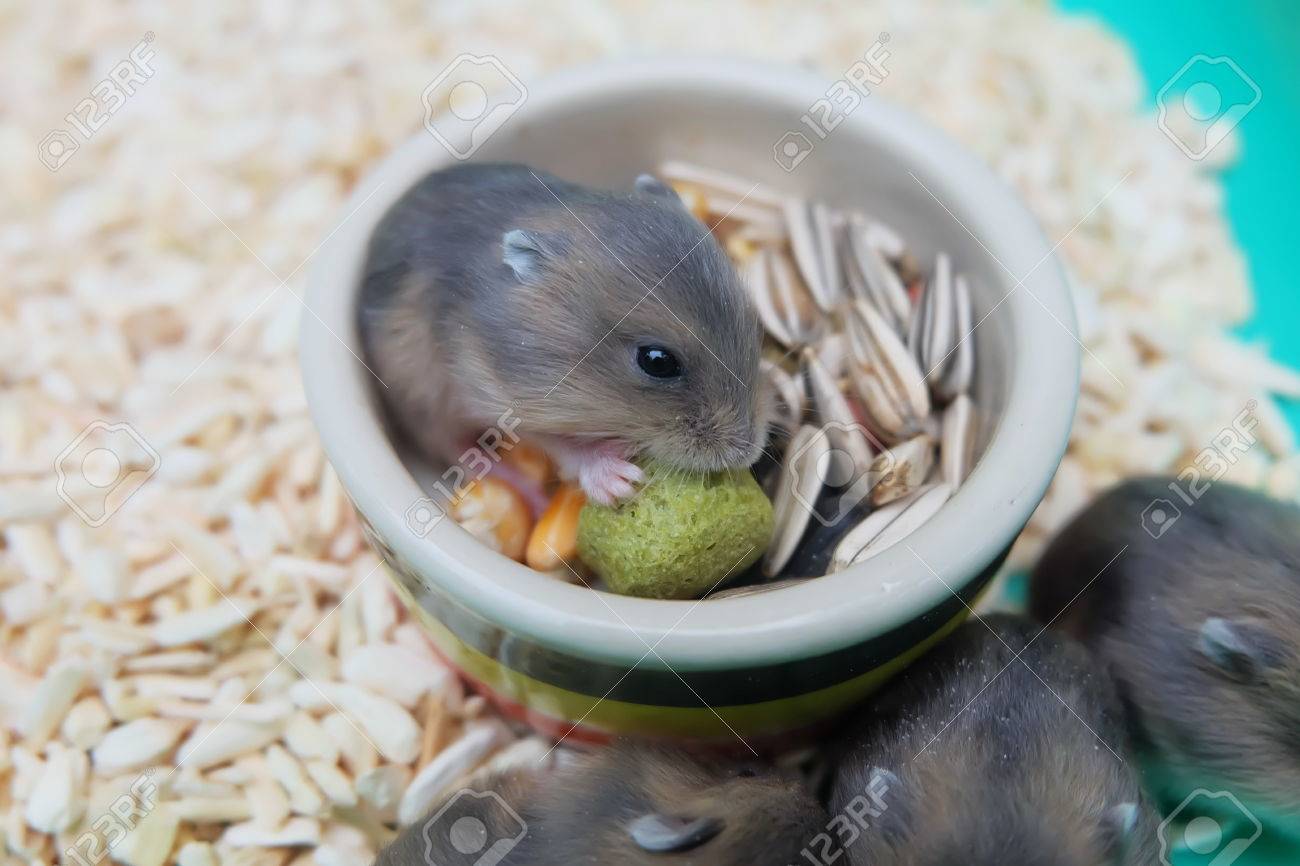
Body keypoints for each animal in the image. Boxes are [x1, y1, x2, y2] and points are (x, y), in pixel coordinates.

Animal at [359, 163, 768, 505]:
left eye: (753, 319)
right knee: (463, 454)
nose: (748, 452)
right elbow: (556, 442)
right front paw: (619, 481)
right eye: (657, 361)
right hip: (422, 399)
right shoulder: (495, 394)